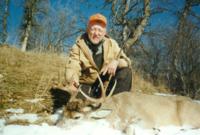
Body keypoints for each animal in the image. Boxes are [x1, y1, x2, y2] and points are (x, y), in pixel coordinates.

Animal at [52, 74, 200, 134]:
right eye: (63, 113)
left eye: (77, 117)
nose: (56, 127)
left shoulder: (145, 119)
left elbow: (129, 128)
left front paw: (156, 131)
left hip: (186, 114)